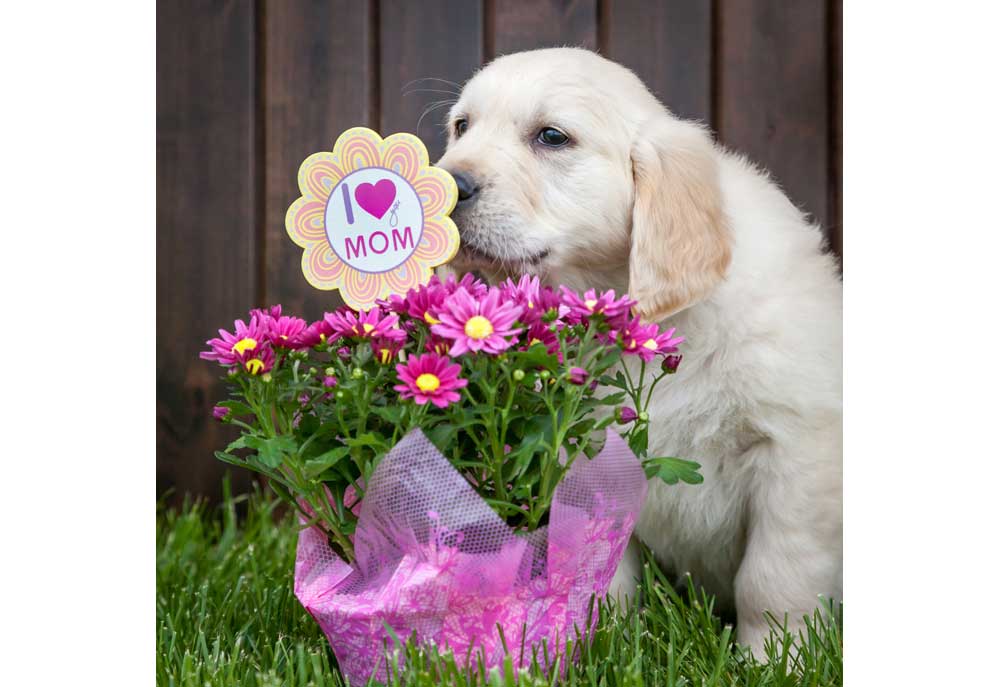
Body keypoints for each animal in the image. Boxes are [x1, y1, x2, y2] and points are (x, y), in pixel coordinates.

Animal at [440, 45, 844, 660]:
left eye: (552, 137)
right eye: (461, 127)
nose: (443, 183)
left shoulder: (796, 453)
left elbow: (775, 574)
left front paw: (776, 658)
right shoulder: (587, 455)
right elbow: (602, 567)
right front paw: (598, 645)